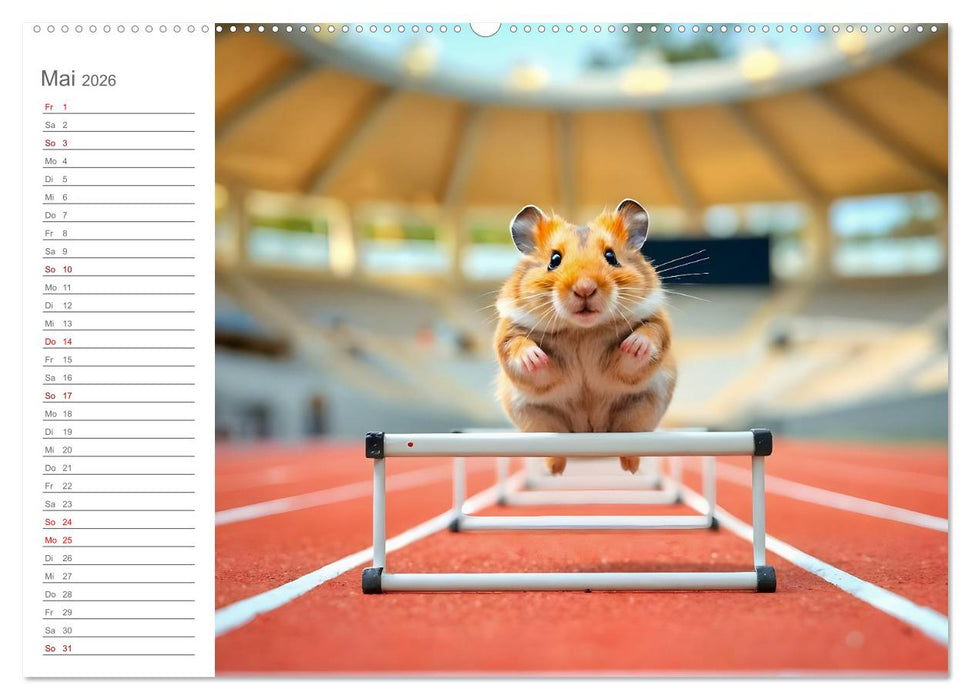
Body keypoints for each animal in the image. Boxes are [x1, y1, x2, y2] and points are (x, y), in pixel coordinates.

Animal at [494, 199, 677, 475]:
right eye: (554, 260)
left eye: (611, 257)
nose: (585, 289)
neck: (582, 330)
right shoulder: (509, 333)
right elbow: (521, 349)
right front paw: (535, 357)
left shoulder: (655, 324)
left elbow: (645, 339)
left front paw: (634, 345)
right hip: (537, 418)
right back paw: (554, 470)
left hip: (641, 409)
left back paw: (630, 468)